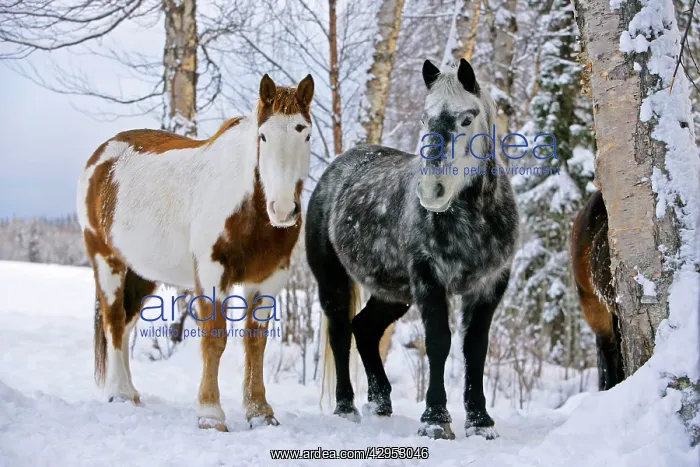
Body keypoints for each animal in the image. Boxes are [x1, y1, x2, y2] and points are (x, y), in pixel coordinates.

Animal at [76, 73, 314, 431]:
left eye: (306, 133)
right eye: (263, 136)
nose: (284, 209)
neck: (246, 207)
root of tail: (102, 156)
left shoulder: (269, 277)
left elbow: (255, 342)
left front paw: (259, 412)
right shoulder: (213, 271)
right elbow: (215, 339)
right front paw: (210, 414)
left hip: (142, 272)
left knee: (128, 323)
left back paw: (132, 392)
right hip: (107, 260)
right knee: (114, 320)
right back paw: (118, 394)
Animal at [305, 59, 519, 440]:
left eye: (467, 119)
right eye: (424, 118)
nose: (432, 191)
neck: (474, 221)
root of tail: (338, 168)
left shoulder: (489, 285)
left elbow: (475, 348)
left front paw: (480, 421)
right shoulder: (428, 279)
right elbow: (438, 343)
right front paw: (435, 419)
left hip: (393, 293)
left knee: (365, 329)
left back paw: (380, 404)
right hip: (332, 282)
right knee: (340, 334)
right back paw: (346, 408)